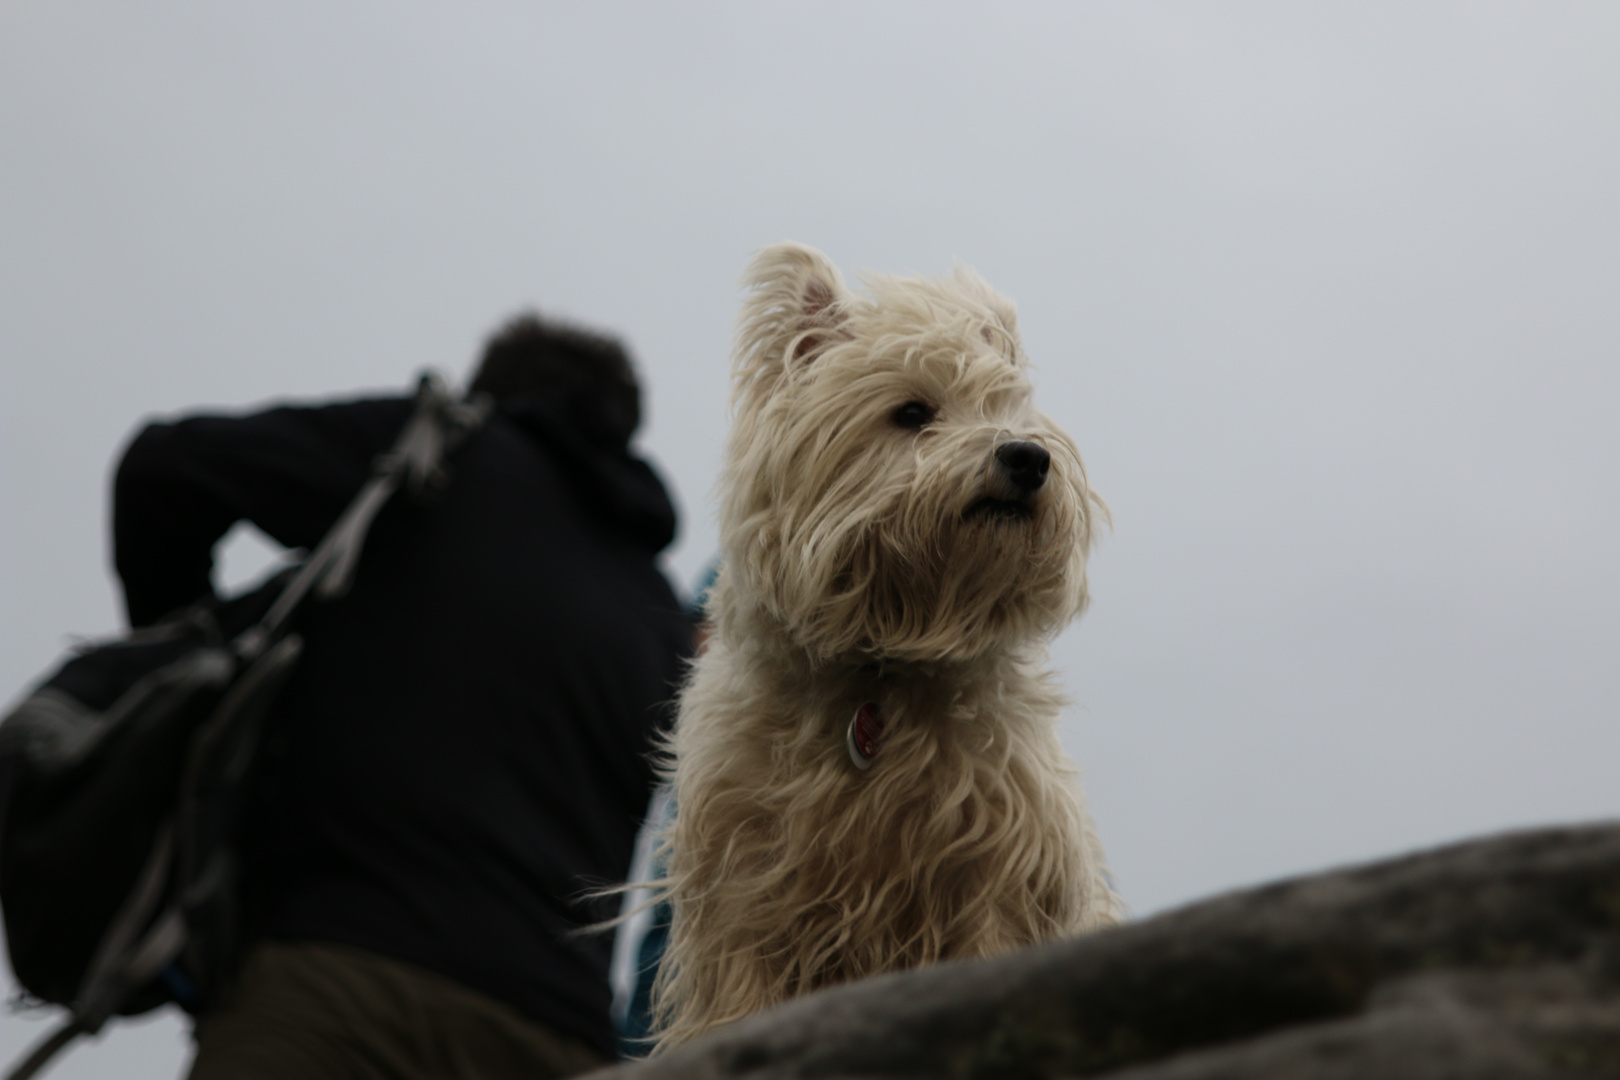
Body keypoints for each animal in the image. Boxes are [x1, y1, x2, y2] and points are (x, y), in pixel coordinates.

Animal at [651, 242, 1121, 1049]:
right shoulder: (745, 881)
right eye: (912, 413)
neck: (885, 662)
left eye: (1009, 409)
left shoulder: (995, 870)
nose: (1028, 457)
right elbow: (742, 990)